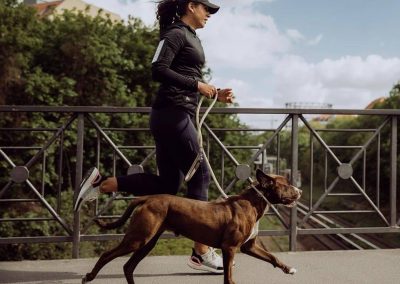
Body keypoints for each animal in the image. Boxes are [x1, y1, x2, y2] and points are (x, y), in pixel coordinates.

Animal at [81, 170, 300, 282]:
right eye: (287, 185)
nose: (300, 191)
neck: (254, 202)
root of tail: (147, 198)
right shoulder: (230, 248)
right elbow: (228, 276)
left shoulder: (249, 246)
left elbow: (272, 257)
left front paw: (288, 269)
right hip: (137, 239)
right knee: (107, 255)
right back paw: (89, 276)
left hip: (147, 242)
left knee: (128, 266)